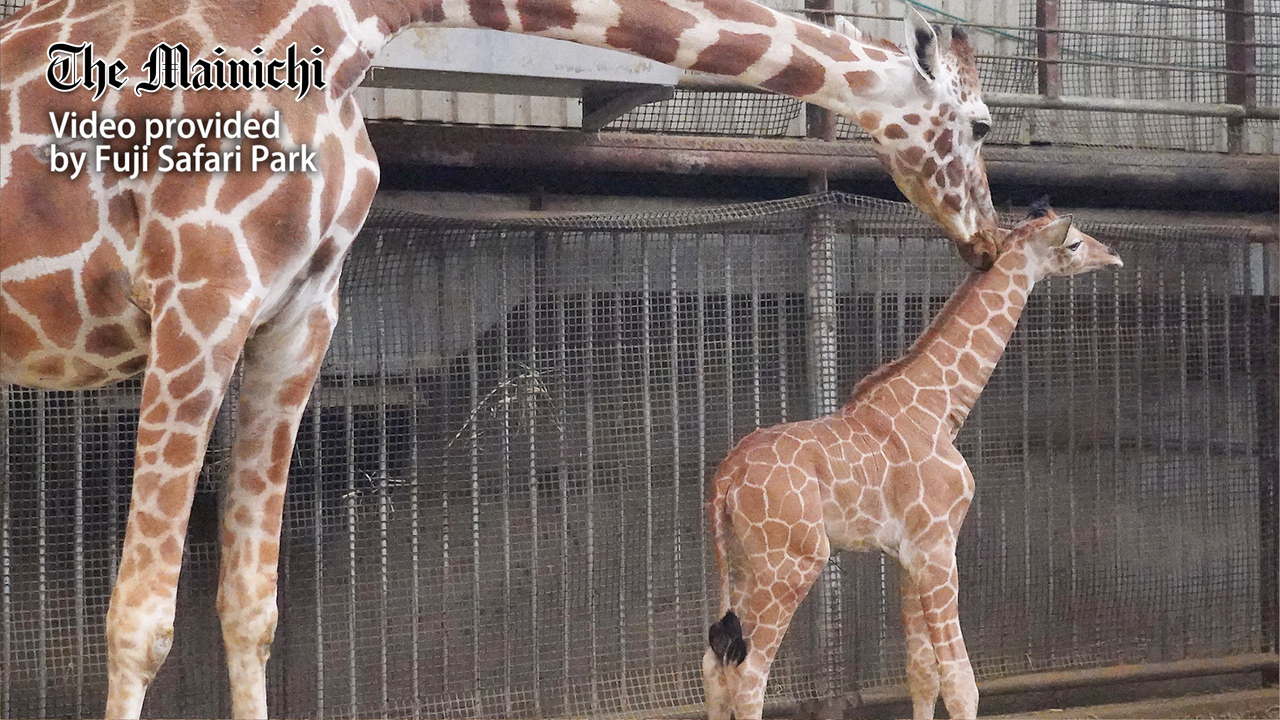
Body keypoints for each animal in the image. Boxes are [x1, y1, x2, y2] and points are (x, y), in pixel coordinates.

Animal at [2, 0, 1000, 717]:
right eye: (986, 125)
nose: (985, 236)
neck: (339, 29)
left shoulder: (294, 318)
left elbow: (250, 608)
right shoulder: (197, 298)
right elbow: (139, 620)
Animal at [702, 202, 1123, 720]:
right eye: (1075, 242)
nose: (1113, 256)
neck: (938, 409)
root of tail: (726, 478)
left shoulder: (908, 554)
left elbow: (922, 673)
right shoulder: (939, 545)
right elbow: (961, 681)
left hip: (742, 560)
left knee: (715, 663)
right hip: (792, 562)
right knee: (749, 672)